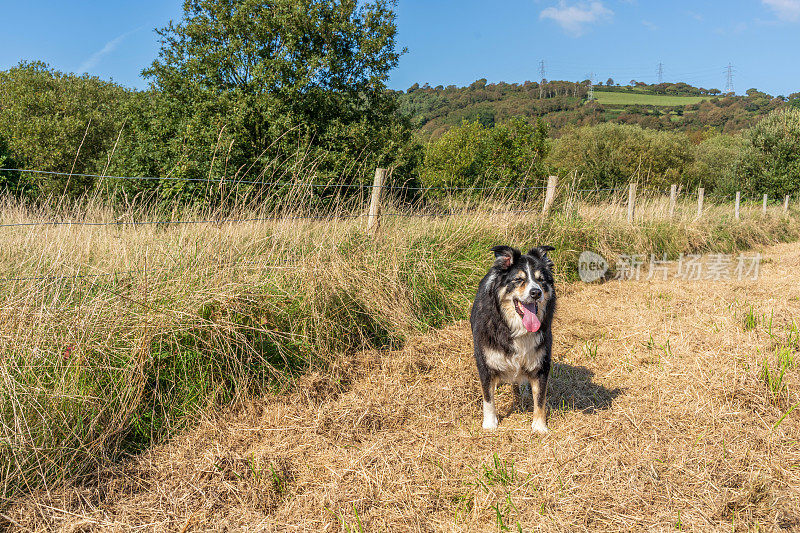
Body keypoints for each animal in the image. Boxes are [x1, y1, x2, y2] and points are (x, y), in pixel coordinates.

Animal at [468, 245, 556, 432]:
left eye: (541, 280)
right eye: (518, 279)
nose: (536, 292)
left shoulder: (541, 362)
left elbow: (540, 398)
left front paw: (539, 427)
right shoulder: (485, 360)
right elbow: (488, 397)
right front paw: (490, 424)